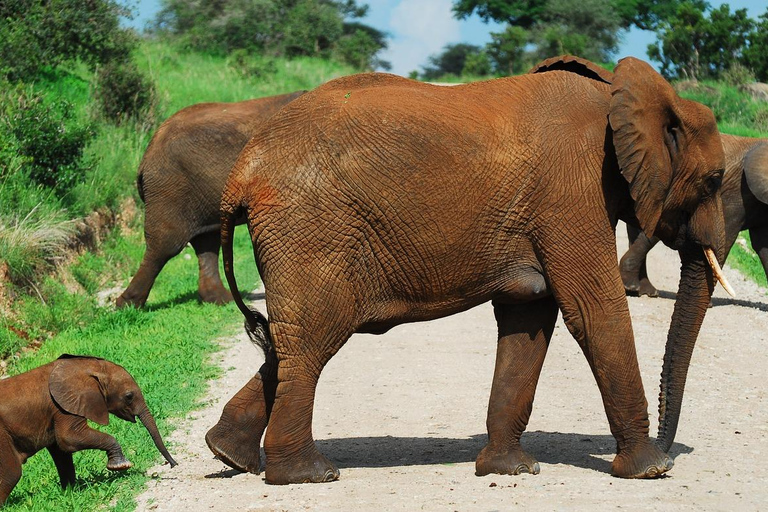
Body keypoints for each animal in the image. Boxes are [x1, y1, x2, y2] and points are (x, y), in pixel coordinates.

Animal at [0, 354, 177, 506]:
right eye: (129, 396)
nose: (173, 464)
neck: (86, 367)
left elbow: (61, 451)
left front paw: (70, 492)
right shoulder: (62, 407)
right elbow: (68, 439)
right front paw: (120, 466)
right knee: (12, 473)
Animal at [115, 91, 304, 308]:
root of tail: (148, 152)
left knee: (207, 243)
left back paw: (221, 299)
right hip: (171, 188)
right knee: (165, 245)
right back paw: (127, 305)